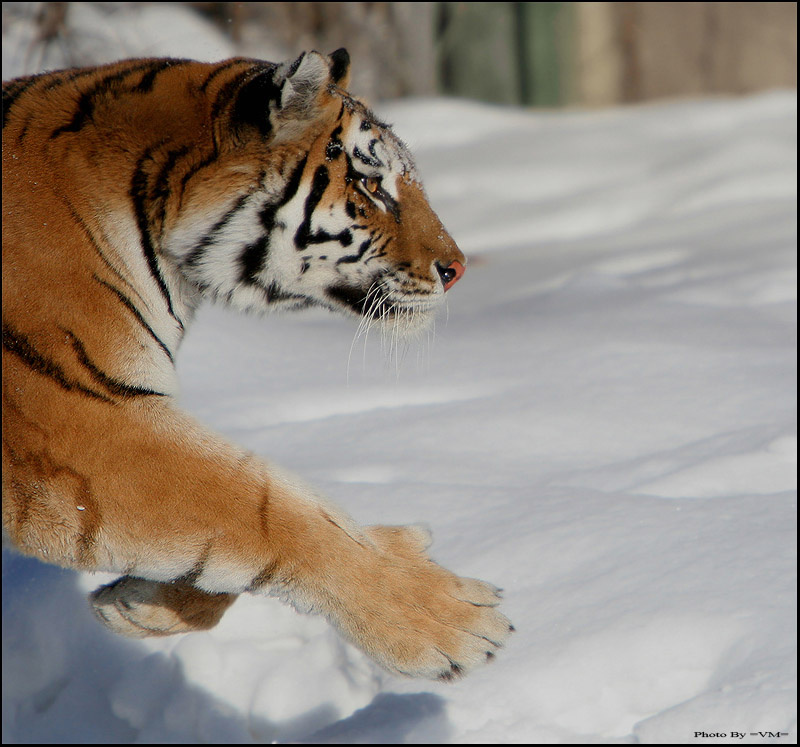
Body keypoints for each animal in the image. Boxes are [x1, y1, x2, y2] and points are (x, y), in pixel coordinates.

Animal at [2, 49, 512, 680]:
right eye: (372, 183)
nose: (457, 269)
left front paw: (141, 604)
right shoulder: (75, 420)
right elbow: (265, 505)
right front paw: (446, 619)